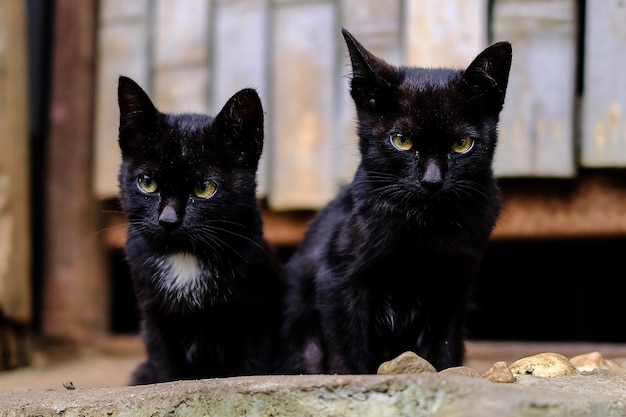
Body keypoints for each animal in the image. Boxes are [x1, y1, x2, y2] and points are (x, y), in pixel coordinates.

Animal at [116, 75, 280, 384]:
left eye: (205, 188)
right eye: (147, 182)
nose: (168, 220)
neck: (185, 257)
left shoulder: (254, 319)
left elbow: (249, 368)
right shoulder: (155, 321)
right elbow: (167, 373)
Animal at [278, 30, 512, 374]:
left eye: (462, 144)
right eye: (402, 141)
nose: (432, 181)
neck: (424, 227)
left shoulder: (453, 288)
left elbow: (442, 349)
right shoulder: (337, 280)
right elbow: (346, 351)